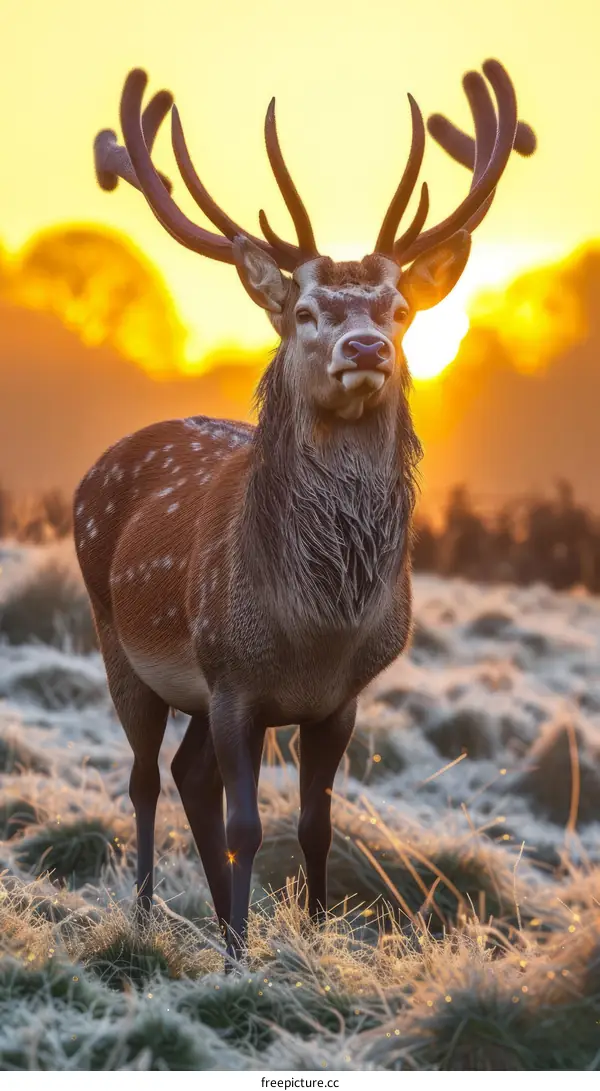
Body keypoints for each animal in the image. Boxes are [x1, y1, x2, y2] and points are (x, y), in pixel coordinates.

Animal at [75, 59, 535, 960]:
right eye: (305, 311)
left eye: (399, 309)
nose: (366, 348)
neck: (315, 628)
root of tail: (96, 467)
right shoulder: (232, 678)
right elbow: (247, 826)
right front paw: (240, 959)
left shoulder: (340, 698)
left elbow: (318, 825)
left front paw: (311, 938)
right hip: (121, 643)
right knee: (145, 777)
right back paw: (146, 916)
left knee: (186, 775)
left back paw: (218, 917)